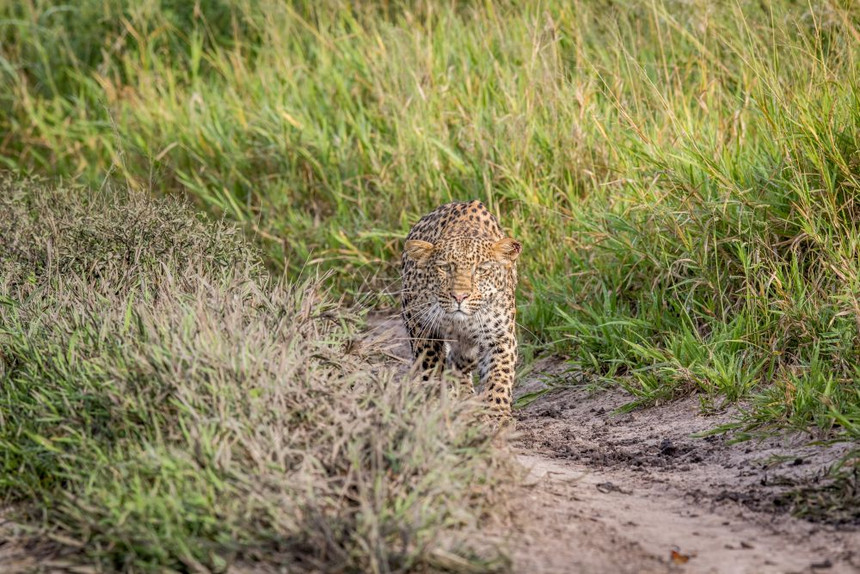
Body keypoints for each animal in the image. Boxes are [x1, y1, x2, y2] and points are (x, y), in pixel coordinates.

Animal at [400, 200, 520, 420]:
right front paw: (437, 401)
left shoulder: (500, 336)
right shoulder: (421, 325)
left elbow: (500, 373)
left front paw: (497, 413)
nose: (459, 297)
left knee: (461, 361)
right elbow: (431, 365)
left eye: (481, 269)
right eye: (445, 268)